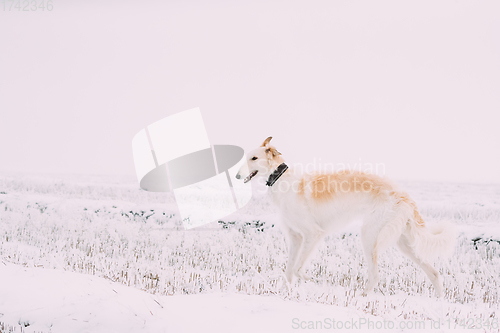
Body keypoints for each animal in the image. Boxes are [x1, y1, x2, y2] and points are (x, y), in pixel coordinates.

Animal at [234, 136, 458, 296]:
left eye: (254, 158)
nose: (236, 176)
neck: (282, 179)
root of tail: (404, 195)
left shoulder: (313, 234)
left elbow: (298, 269)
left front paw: (313, 281)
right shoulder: (295, 237)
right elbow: (289, 271)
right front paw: (287, 293)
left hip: (369, 236)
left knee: (375, 276)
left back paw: (362, 297)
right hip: (404, 243)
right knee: (435, 273)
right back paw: (439, 301)